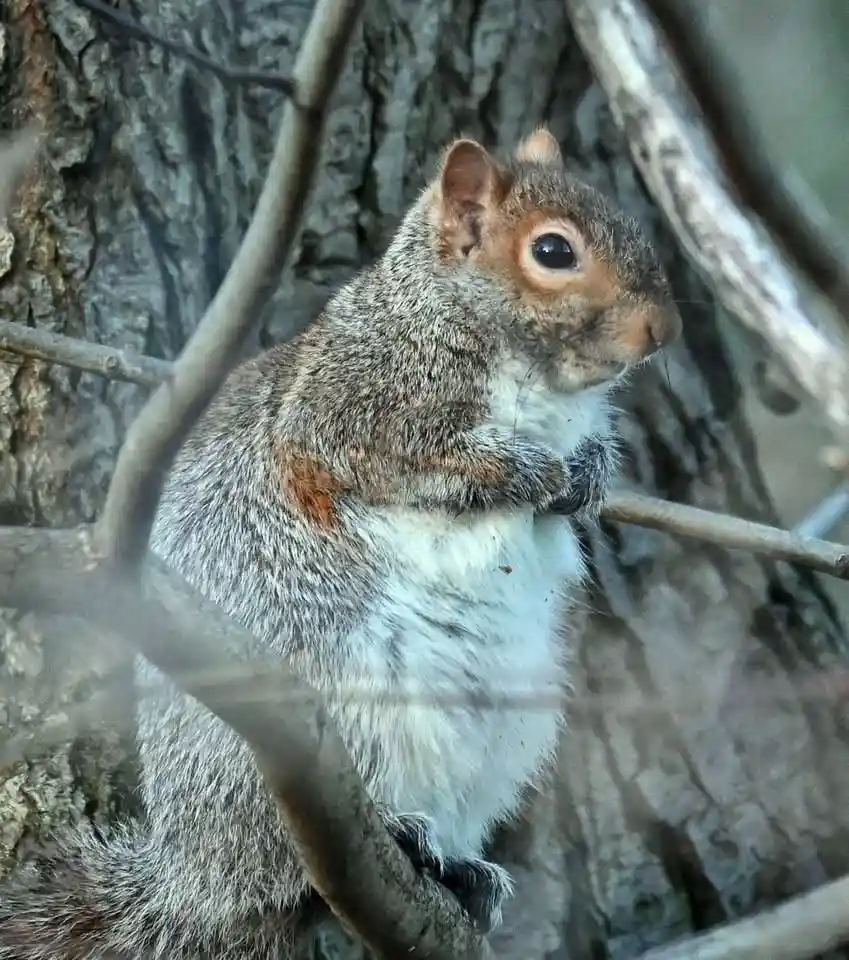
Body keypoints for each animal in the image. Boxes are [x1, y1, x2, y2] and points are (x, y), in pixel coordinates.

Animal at [0, 127, 680, 957]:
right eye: (553, 251)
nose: (662, 329)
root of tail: (191, 879)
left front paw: (584, 478)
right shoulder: (348, 409)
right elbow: (411, 462)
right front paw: (528, 470)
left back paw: (461, 871)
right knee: (281, 870)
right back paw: (399, 836)